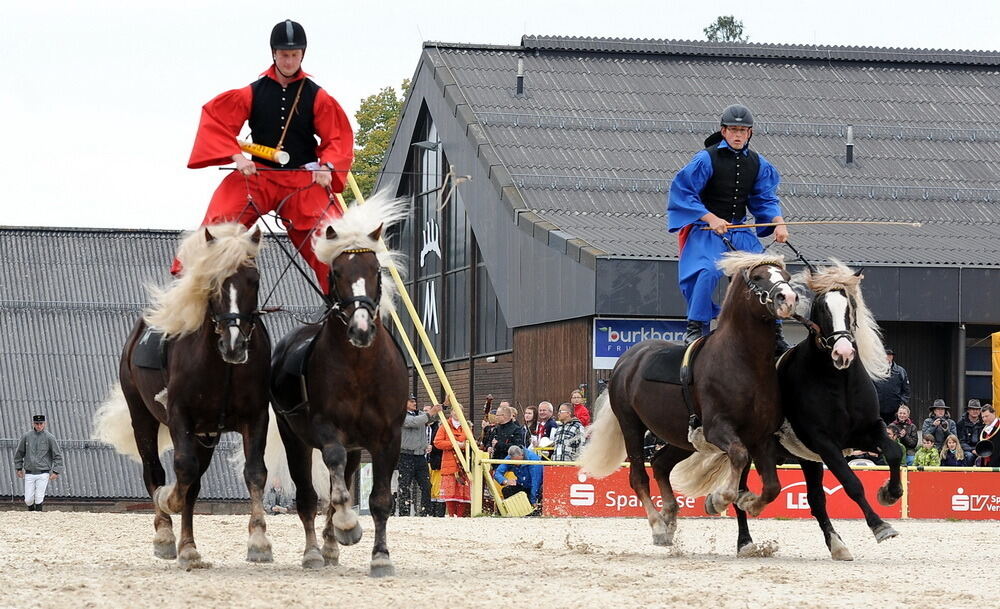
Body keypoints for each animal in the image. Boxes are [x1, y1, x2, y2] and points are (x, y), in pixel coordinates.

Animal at [94, 224, 272, 568]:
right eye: (211, 281)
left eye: (254, 279)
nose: (234, 345)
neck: (222, 366)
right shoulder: (180, 416)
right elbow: (182, 471)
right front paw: (167, 500)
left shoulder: (255, 417)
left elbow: (254, 472)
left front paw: (259, 541)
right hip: (144, 419)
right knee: (156, 471)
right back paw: (164, 534)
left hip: (206, 434)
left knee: (194, 483)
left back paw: (189, 548)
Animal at [268, 192, 408, 576]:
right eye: (337, 272)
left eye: (376, 271)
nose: (361, 329)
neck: (360, 367)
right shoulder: (327, 429)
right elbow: (335, 488)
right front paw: (349, 527)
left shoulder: (387, 437)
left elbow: (379, 500)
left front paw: (381, 557)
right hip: (294, 438)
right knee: (308, 497)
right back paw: (315, 552)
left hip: (357, 448)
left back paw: (331, 547)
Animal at [580, 249, 796, 552]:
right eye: (757, 277)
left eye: (786, 276)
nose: (788, 298)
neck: (742, 362)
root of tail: (628, 359)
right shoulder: (719, 429)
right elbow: (739, 457)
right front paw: (718, 499)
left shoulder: (760, 437)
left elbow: (773, 486)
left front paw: (749, 503)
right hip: (631, 426)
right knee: (638, 476)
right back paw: (658, 525)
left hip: (679, 437)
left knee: (660, 464)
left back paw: (670, 516)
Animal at [776, 258, 904, 560]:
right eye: (822, 307)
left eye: (850, 307)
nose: (843, 353)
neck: (839, 381)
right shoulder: (825, 443)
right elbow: (852, 483)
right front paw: (880, 525)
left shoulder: (866, 431)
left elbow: (894, 452)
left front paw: (890, 492)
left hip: (806, 460)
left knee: (815, 500)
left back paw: (837, 546)